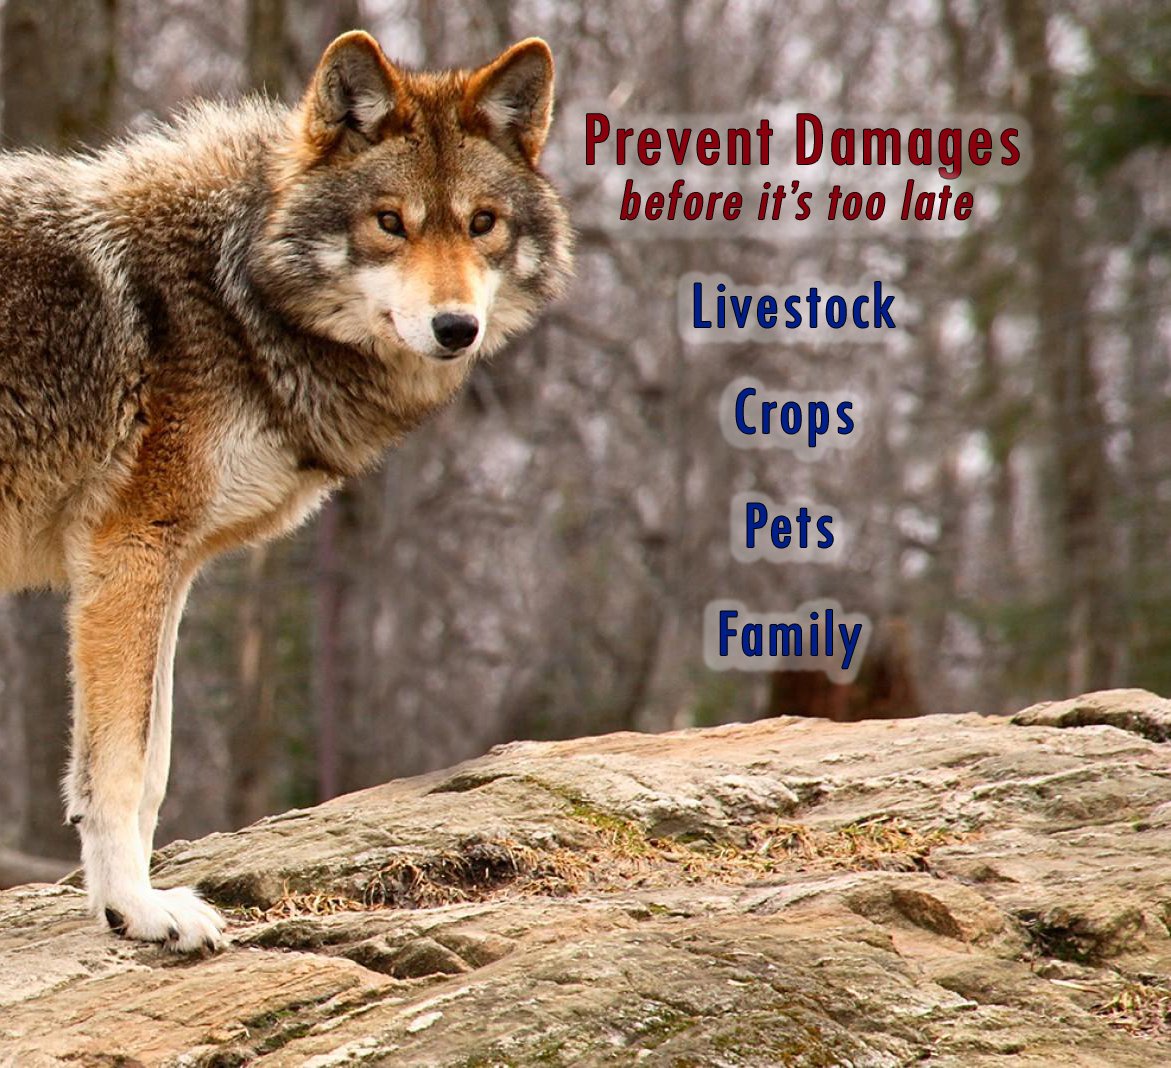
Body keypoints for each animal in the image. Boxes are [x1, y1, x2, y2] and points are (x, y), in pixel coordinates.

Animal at [0, 31, 571, 950]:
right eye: (389, 223)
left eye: (482, 224)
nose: (456, 328)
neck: (232, 292)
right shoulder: (130, 556)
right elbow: (119, 768)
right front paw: (137, 909)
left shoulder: (170, 572)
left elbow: (153, 767)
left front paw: (129, 900)